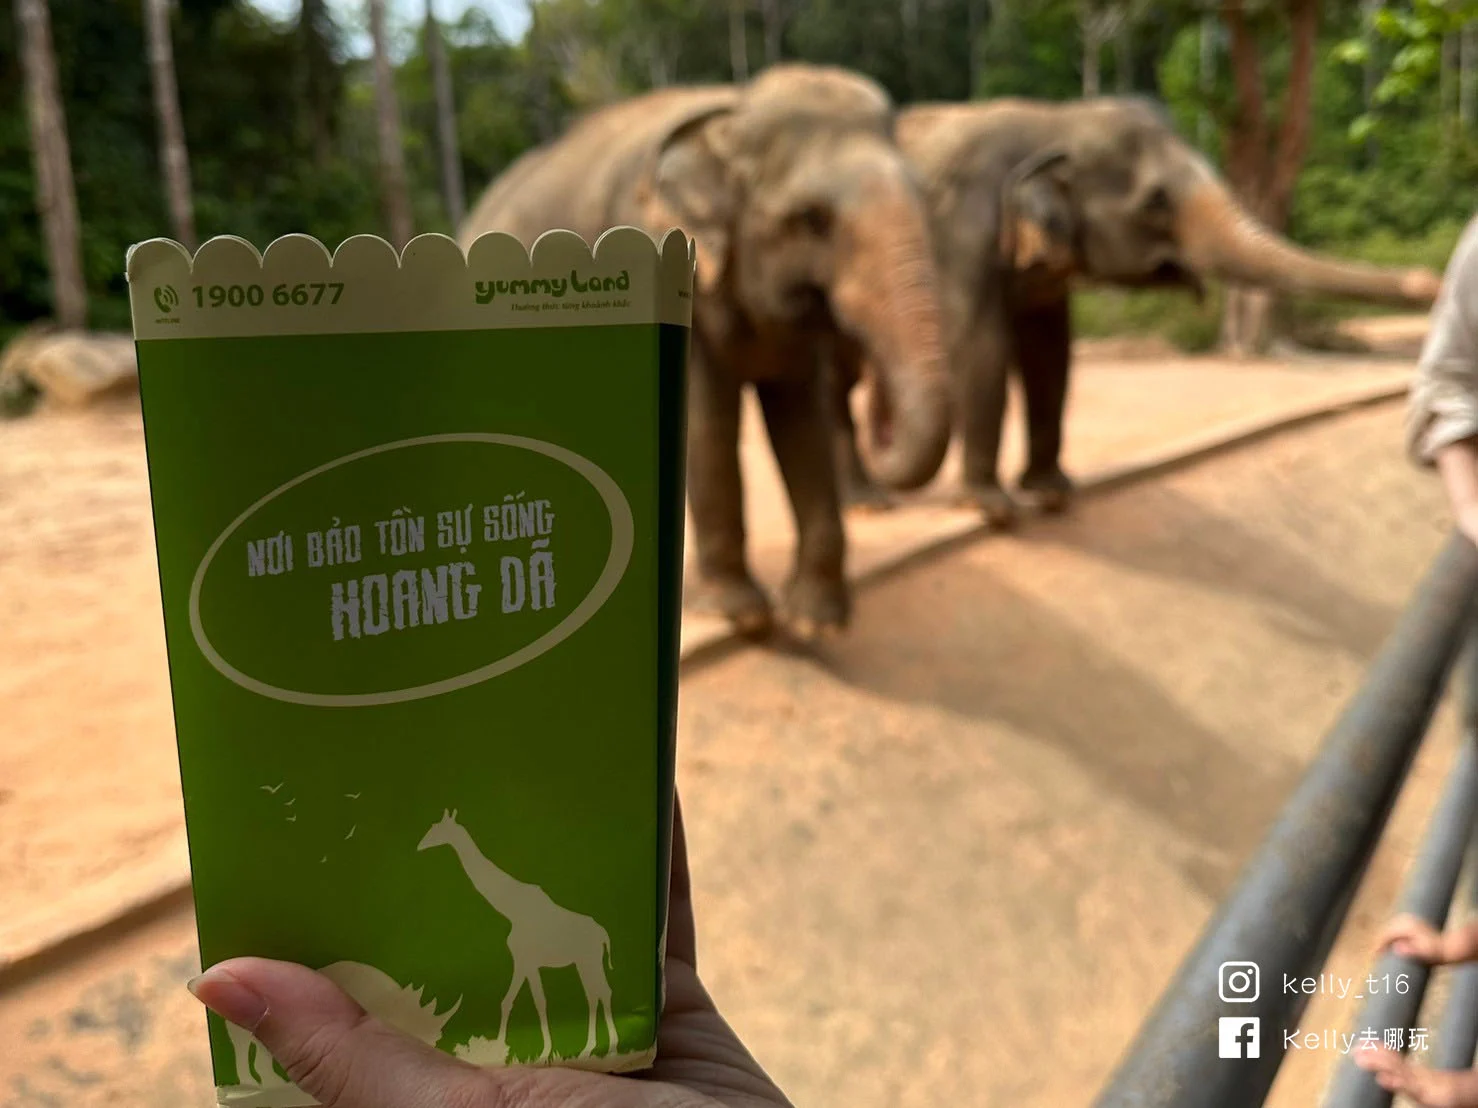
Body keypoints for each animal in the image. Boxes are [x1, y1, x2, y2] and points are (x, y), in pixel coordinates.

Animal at [455, 67, 951, 641]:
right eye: (812, 219)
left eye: (925, 197)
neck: (732, 111)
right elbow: (709, 424)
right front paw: (745, 615)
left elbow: (801, 423)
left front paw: (814, 622)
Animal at [833, 97, 1442, 525]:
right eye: (1156, 201)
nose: (1429, 279)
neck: (1053, 120)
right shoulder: (961, 232)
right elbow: (982, 347)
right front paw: (993, 508)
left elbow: (1051, 352)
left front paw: (1053, 493)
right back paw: (867, 499)